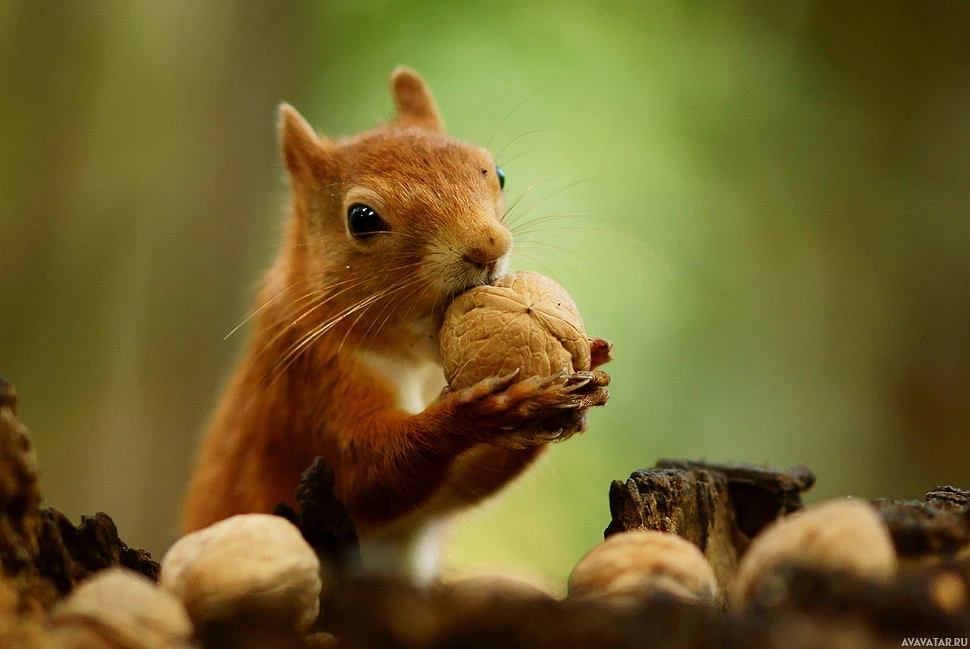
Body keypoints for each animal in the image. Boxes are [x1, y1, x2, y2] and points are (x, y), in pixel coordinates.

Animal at [180, 68, 612, 580]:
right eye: (362, 218)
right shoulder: (312, 383)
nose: (489, 246)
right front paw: (481, 411)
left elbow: (460, 489)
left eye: (497, 172)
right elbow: (370, 477)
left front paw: (580, 380)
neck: (418, 360)